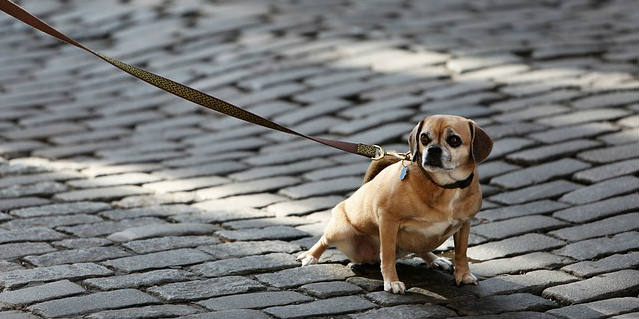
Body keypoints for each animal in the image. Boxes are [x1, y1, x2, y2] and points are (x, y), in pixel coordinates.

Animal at [298, 115, 492, 296]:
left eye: (454, 140)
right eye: (424, 138)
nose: (433, 149)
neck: (443, 186)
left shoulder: (465, 224)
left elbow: (461, 252)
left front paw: (463, 275)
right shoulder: (388, 220)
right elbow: (388, 255)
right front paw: (391, 281)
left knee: (421, 249)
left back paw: (435, 259)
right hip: (339, 230)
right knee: (324, 240)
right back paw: (310, 256)